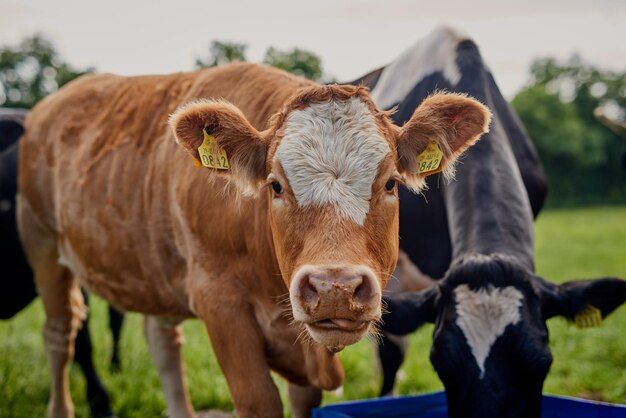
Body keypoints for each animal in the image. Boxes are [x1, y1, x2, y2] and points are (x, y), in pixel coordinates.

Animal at [17, 62, 490, 418]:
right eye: (275, 186)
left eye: (391, 183)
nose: (334, 289)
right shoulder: (220, 304)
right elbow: (259, 399)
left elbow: (303, 398)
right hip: (43, 246)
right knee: (59, 335)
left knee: (163, 343)